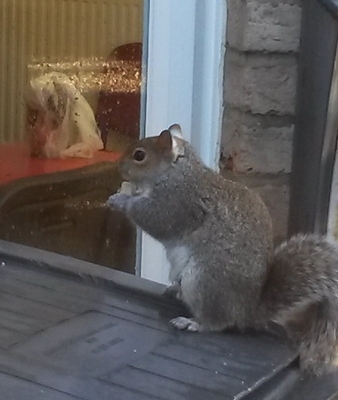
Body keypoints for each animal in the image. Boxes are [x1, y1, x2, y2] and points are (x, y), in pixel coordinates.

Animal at [107, 123, 338, 376]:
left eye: (139, 155)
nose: (119, 167)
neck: (177, 172)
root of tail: (248, 311)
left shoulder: (176, 201)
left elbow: (154, 218)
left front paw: (122, 200)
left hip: (203, 281)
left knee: (218, 322)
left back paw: (192, 322)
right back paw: (175, 290)